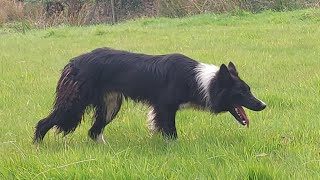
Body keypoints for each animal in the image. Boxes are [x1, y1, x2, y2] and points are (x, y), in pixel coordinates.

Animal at [33, 47, 266, 143]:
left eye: (249, 90)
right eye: (240, 93)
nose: (263, 105)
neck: (200, 82)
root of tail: (74, 62)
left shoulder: (159, 110)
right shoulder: (165, 108)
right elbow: (171, 133)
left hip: (110, 105)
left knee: (93, 131)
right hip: (75, 103)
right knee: (44, 122)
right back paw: (37, 146)